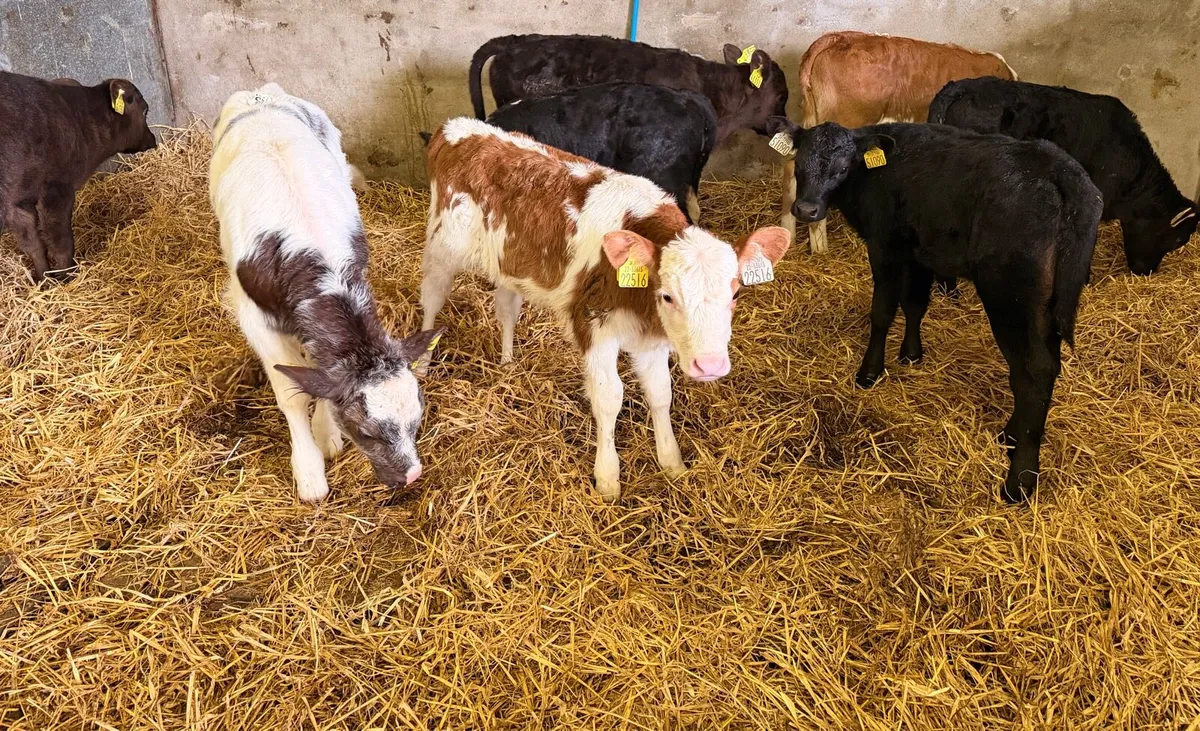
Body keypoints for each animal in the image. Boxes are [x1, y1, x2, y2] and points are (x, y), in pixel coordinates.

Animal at [0, 71, 158, 281]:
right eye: (145, 110)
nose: (153, 139)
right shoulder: (56, 191)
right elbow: (62, 243)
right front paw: (70, 278)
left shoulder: (17, 202)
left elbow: (33, 244)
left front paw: (45, 280)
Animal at [210, 83, 443, 502]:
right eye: (366, 431)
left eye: (417, 418)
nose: (412, 475)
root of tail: (261, 93)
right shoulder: (256, 319)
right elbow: (292, 391)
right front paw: (309, 470)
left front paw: (327, 433)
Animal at [420, 118, 790, 502]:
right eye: (667, 296)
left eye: (735, 293)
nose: (710, 365)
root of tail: (456, 127)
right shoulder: (593, 326)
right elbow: (609, 397)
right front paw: (608, 478)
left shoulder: (652, 341)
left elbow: (661, 393)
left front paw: (672, 463)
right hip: (441, 248)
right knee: (431, 300)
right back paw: (422, 366)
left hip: (509, 262)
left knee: (506, 308)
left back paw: (508, 362)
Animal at [768, 116, 1102, 503]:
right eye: (800, 162)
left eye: (842, 167)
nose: (806, 209)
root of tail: (1060, 170)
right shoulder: (920, 252)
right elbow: (915, 304)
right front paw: (912, 354)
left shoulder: (884, 246)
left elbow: (883, 311)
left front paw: (869, 372)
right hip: (1045, 304)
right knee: (1045, 366)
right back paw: (1010, 435)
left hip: (1011, 296)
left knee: (1032, 371)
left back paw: (1019, 480)